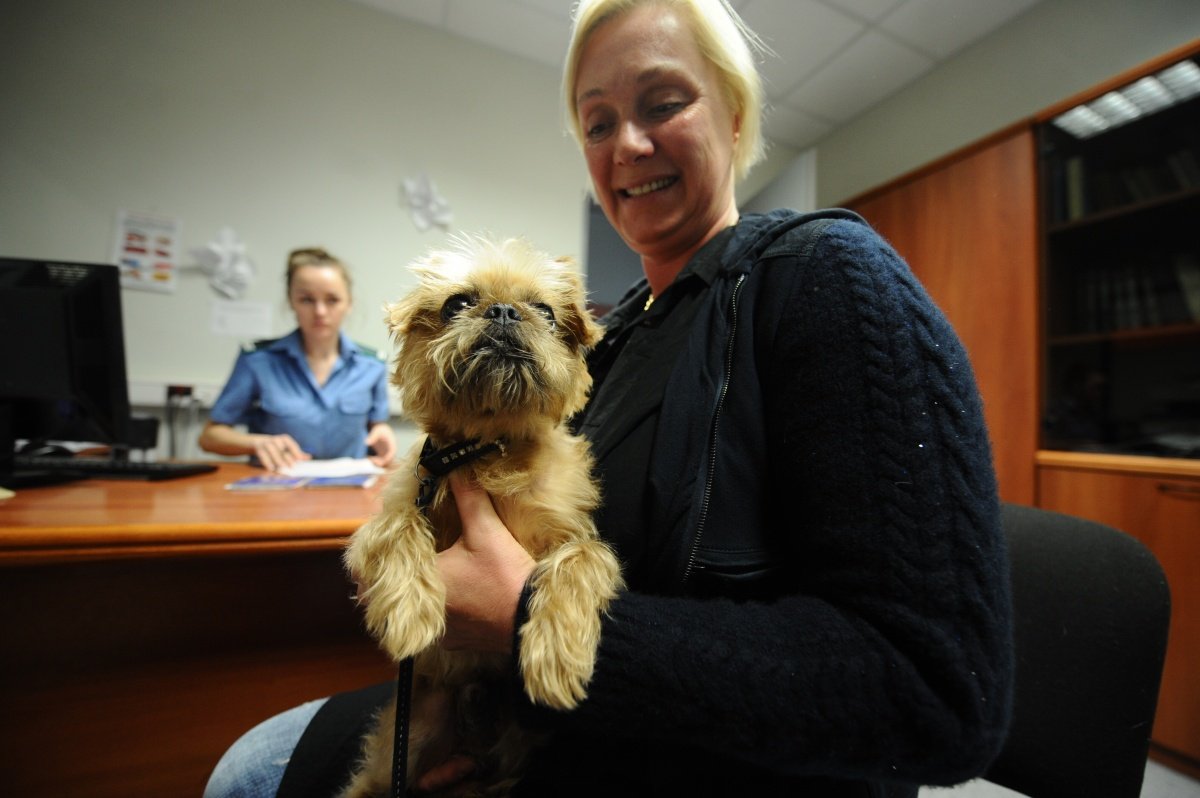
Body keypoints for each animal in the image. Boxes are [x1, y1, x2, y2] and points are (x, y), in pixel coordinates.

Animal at [336, 236, 619, 796]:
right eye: (458, 303)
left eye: (545, 312)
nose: (504, 310)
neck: (489, 450)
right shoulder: (400, 505)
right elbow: (397, 528)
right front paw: (409, 612)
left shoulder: (572, 533)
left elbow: (583, 557)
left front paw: (556, 654)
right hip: (411, 736)